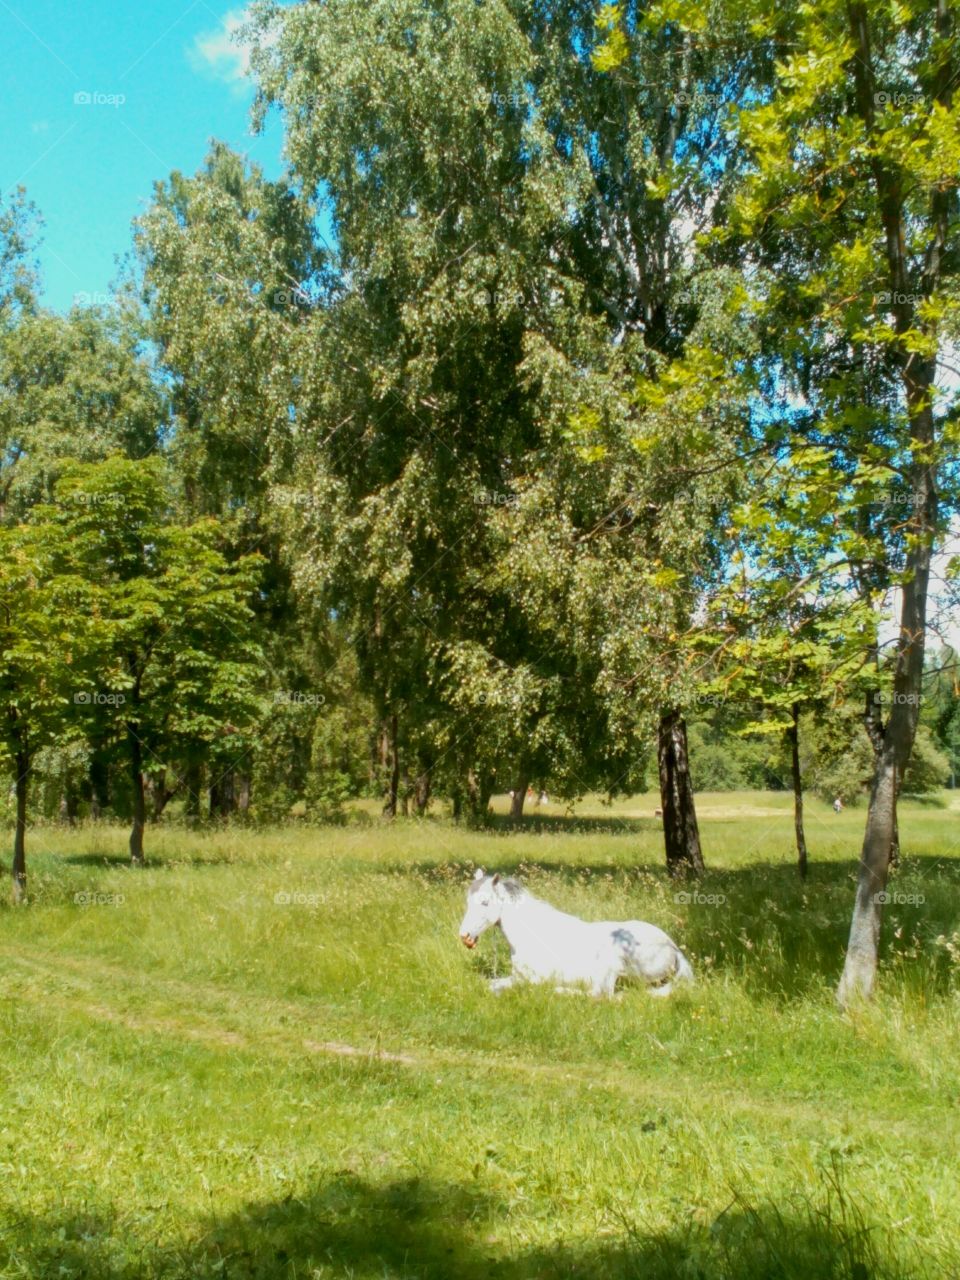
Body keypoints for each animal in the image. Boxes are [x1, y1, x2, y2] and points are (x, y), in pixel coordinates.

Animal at [463, 870, 696, 998]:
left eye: (485, 902)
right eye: (467, 901)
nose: (464, 935)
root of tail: (672, 947)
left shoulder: (530, 979)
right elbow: (489, 984)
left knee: (601, 995)